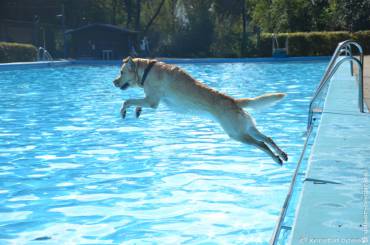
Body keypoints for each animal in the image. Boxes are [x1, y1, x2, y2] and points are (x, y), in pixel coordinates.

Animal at [114, 57, 288, 165]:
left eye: (121, 72)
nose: (114, 82)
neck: (147, 70)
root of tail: (233, 100)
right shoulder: (151, 100)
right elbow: (137, 101)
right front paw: (137, 111)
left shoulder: (152, 101)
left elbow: (128, 100)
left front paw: (124, 111)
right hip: (247, 128)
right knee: (268, 138)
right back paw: (282, 154)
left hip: (237, 134)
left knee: (261, 144)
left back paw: (276, 159)